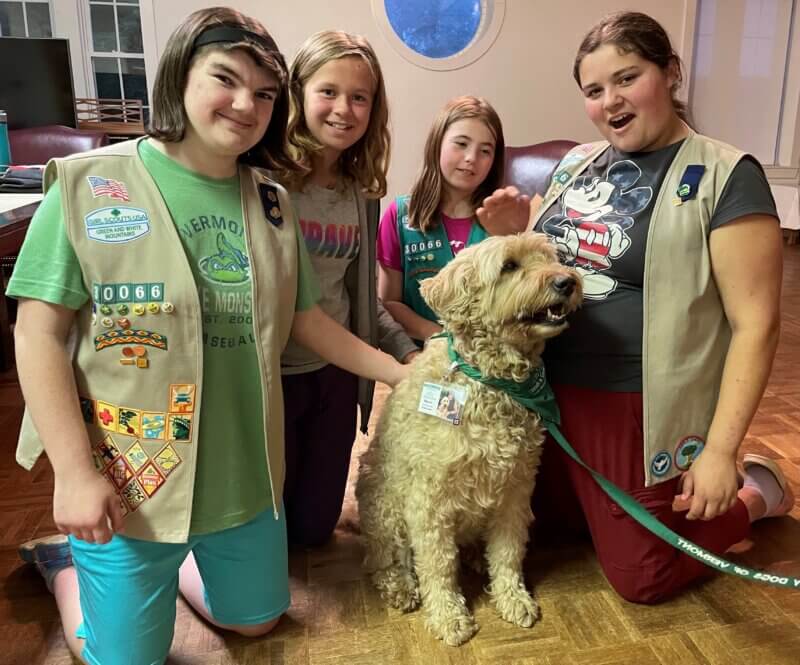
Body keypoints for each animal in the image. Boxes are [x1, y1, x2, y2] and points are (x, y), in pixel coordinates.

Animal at [358, 232, 580, 644]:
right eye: (509, 265)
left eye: (550, 257)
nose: (567, 281)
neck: (491, 381)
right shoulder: (429, 503)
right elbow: (438, 565)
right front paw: (448, 615)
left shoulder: (516, 490)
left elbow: (508, 551)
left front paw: (513, 597)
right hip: (385, 509)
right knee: (385, 558)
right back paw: (400, 585)